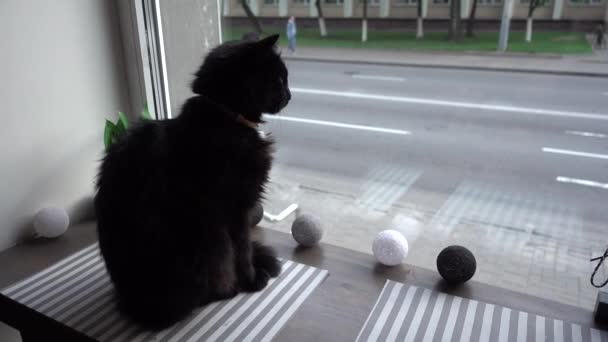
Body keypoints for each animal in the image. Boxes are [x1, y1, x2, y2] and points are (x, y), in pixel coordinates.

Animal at [95, 34, 292, 328]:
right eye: (280, 79)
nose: (290, 95)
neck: (225, 114)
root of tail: (136, 305)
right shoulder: (238, 208)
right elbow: (243, 250)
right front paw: (252, 279)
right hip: (206, 244)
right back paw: (229, 289)